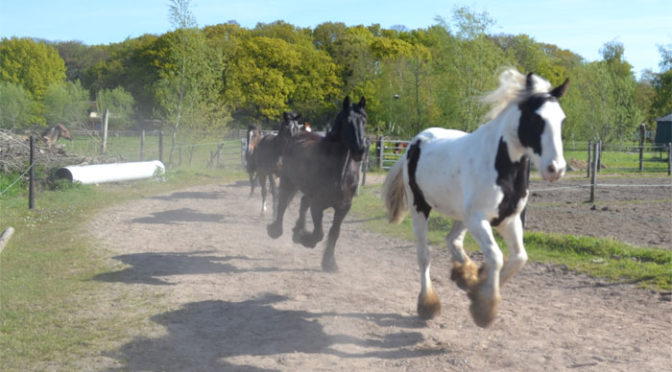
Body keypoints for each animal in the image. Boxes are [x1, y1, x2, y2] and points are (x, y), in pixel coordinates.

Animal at [384, 69, 568, 326]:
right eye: (536, 119)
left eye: (562, 120)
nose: (556, 169)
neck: (500, 165)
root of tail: (414, 143)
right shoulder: (479, 219)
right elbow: (496, 256)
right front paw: (484, 307)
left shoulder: (508, 219)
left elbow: (519, 257)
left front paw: (477, 286)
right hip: (420, 208)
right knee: (424, 256)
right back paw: (428, 304)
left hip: (461, 216)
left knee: (452, 240)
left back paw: (465, 275)